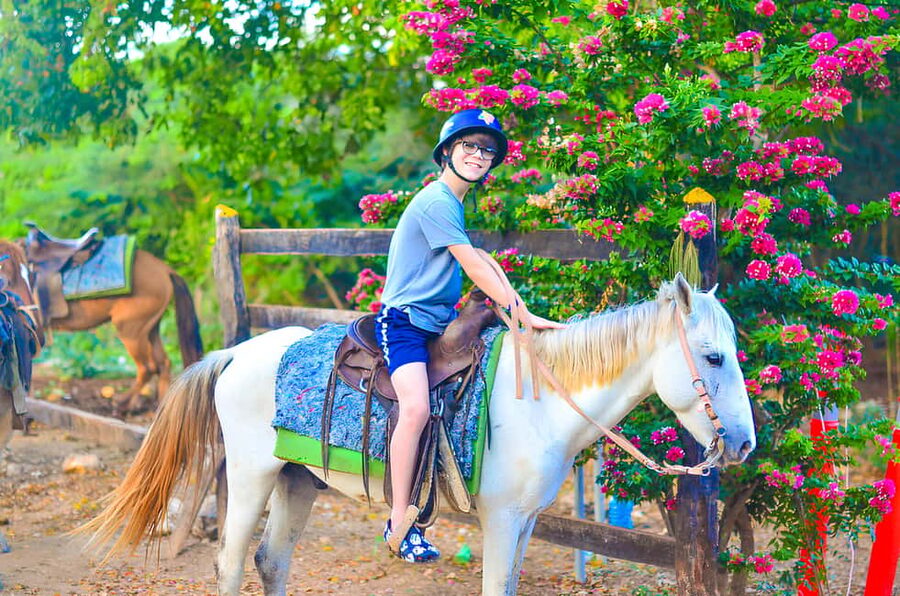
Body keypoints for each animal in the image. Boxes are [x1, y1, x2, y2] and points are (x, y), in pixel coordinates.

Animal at [0, 240, 203, 416]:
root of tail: (165, 269)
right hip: (151, 328)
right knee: (163, 363)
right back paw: (159, 406)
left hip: (131, 332)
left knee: (147, 368)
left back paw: (123, 404)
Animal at [80, 275, 756, 595]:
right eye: (713, 357)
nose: (745, 444)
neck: (538, 402)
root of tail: (235, 353)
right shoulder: (502, 519)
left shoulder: (527, 521)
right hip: (250, 477)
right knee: (228, 562)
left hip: (296, 479)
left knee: (271, 561)